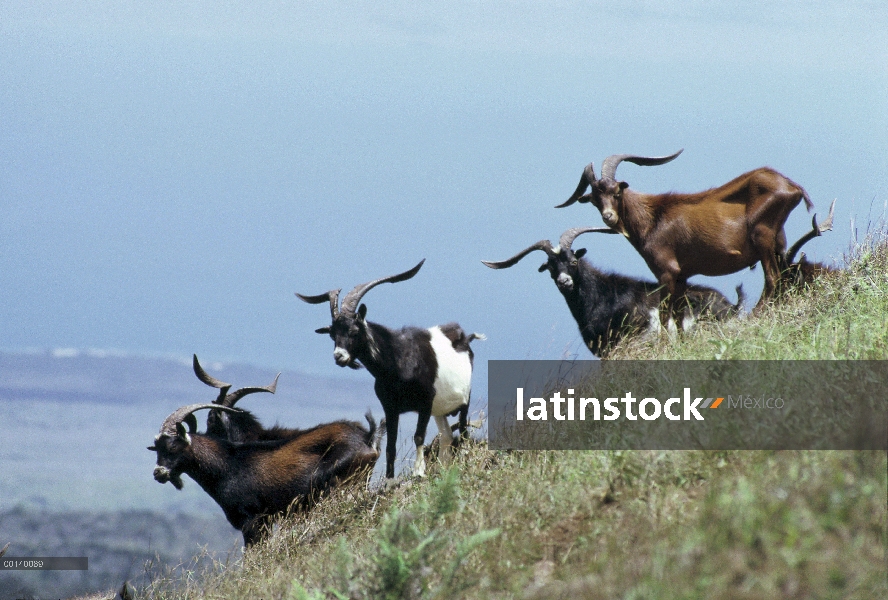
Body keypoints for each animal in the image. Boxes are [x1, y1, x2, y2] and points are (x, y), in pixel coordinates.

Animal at [147, 400, 382, 548]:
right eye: (156, 448)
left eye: (173, 446)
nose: (158, 473)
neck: (228, 464)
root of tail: (367, 438)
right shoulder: (266, 521)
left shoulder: (253, 521)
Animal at [302, 260, 490, 480]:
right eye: (332, 334)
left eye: (354, 331)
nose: (339, 357)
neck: (399, 359)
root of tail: (464, 338)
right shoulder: (390, 408)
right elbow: (390, 446)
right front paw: (390, 480)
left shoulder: (425, 402)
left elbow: (418, 436)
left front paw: (418, 472)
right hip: (440, 409)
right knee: (446, 435)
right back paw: (445, 468)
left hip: (463, 400)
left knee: (463, 429)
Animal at [560, 150, 816, 328]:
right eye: (595, 199)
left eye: (616, 192)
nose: (609, 217)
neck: (652, 219)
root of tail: (791, 186)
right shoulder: (682, 277)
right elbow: (679, 316)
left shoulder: (667, 273)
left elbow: (665, 316)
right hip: (778, 242)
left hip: (763, 238)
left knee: (773, 278)